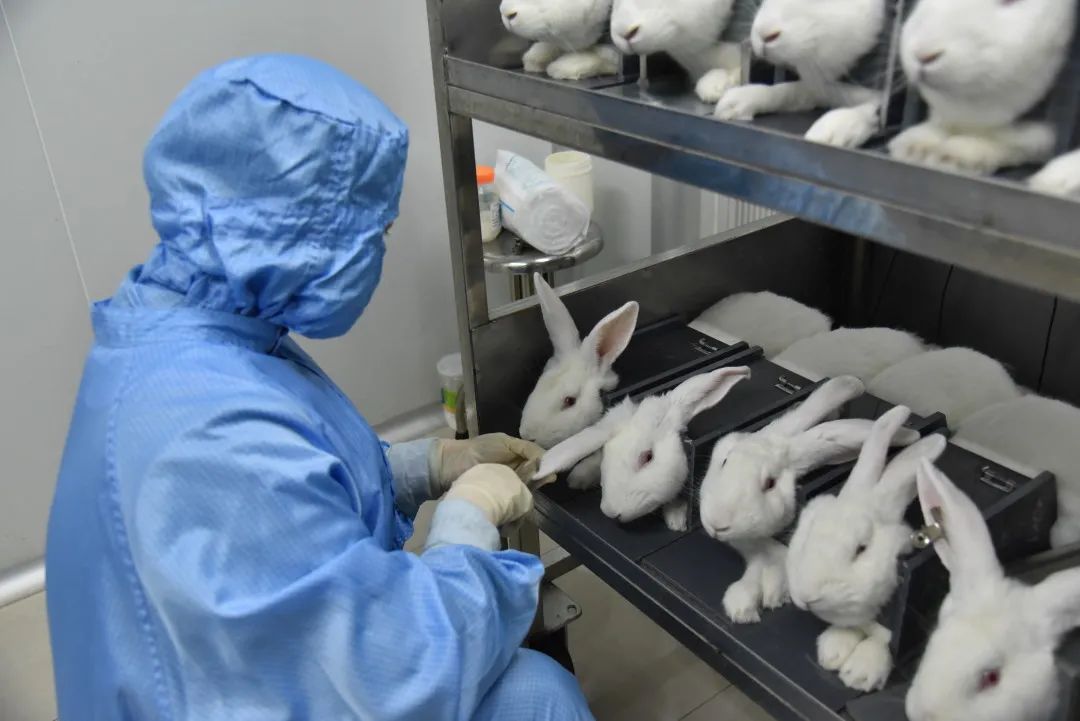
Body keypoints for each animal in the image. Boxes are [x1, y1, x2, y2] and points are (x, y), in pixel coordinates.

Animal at [714, 0, 889, 148]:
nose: (765, 34)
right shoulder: (819, 88)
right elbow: (786, 91)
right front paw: (735, 103)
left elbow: (872, 110)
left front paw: (831, 131)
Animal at [787, 407, 948, 692]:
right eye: (808, 532)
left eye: (861, 549)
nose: (807, 596)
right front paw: (832, 651)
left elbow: (882, 641)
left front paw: (860, 674)